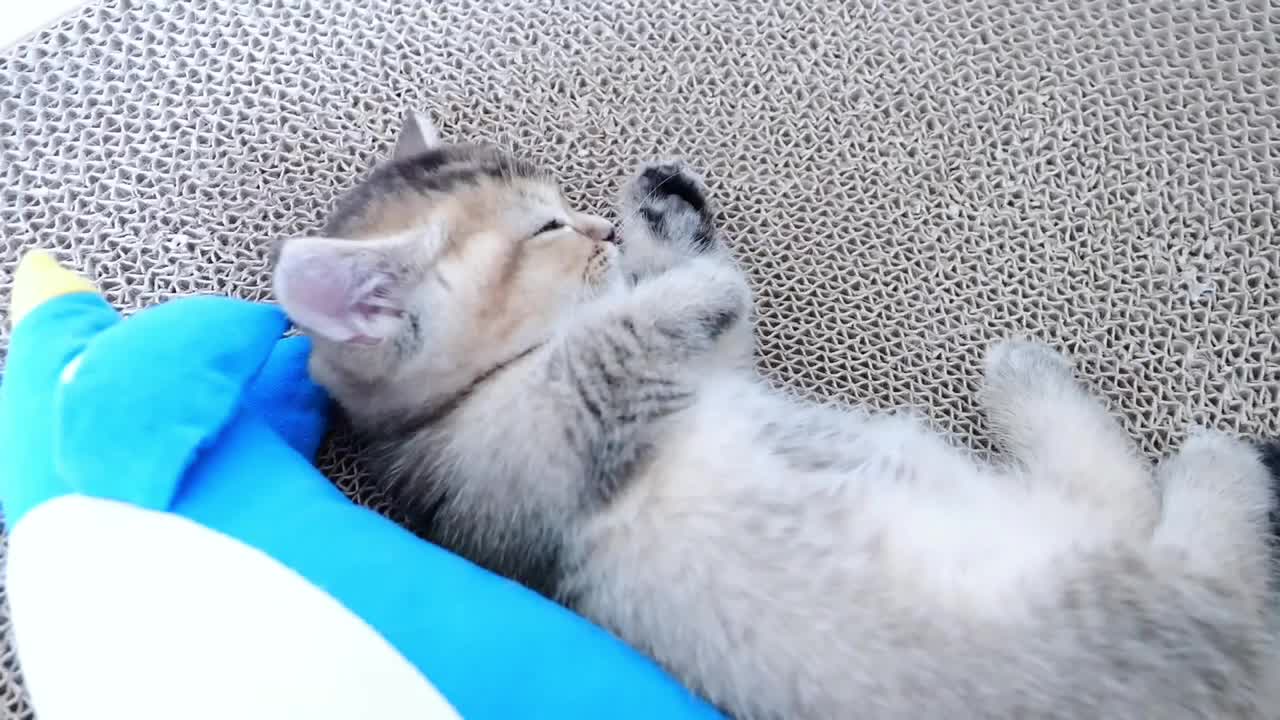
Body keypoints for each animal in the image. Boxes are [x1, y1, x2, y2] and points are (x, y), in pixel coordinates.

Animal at [272, 114, 1280, 712]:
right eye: (547, 229)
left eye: (561, 207)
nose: (599, 226)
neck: (466, 397)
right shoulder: (545, 445)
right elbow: (626, 332)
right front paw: (684, 275)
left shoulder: (707, 372)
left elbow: (694, 314)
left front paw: (666, 219)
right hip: (1119, 596)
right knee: (1207, 563)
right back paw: (1205, 453)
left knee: (1125, 501)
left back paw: (1024, 382)